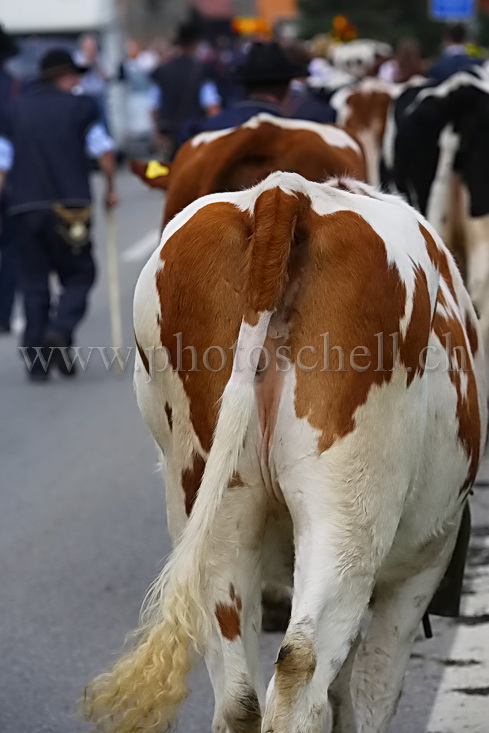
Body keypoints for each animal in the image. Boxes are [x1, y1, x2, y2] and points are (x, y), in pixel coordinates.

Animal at [85, 173, 484, 732]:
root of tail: (283, 193)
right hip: (347, 514)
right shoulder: (423, 564)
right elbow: (375, 689)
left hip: (213, 511)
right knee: (301, 670)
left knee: (238, 696)